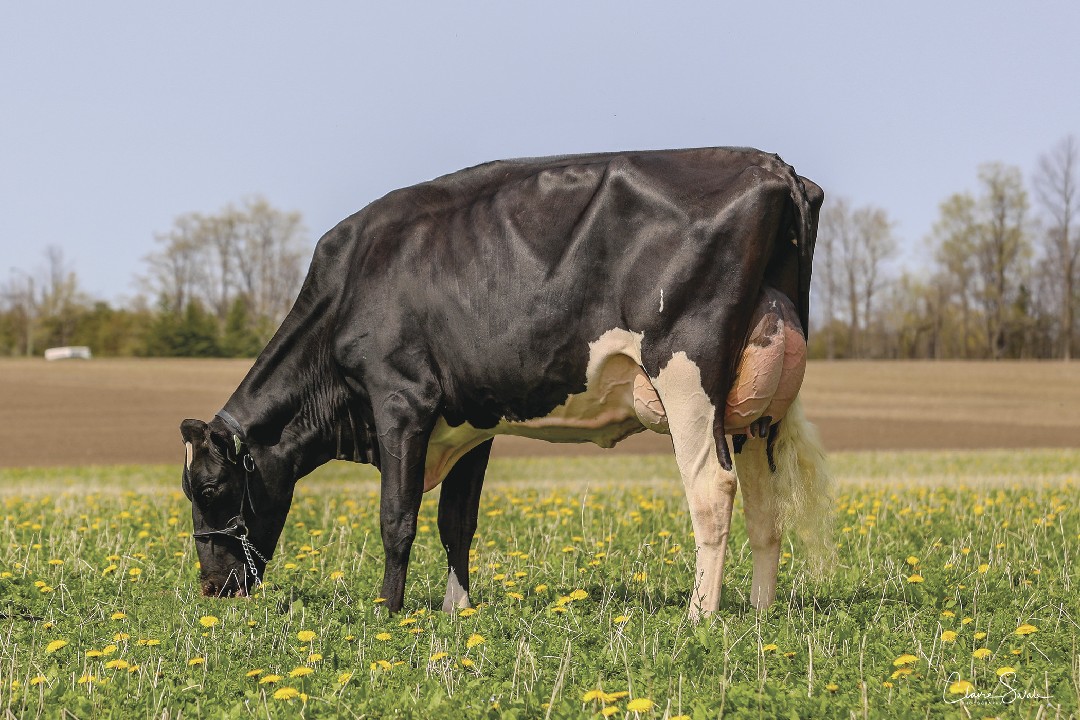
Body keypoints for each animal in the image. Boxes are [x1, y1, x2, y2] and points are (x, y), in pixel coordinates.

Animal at [180, 147, 833, 620]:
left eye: (210, 489)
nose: (212, 588)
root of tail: (773, 167)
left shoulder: (401, 399)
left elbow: (397, 516)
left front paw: (387, 611)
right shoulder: (471, 417)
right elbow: (456, 520)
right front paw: (457, 609)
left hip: (687, 372)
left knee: (713, 489)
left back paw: (700, 615)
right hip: (752, 409)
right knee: (764, 505)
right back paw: (759, 613)